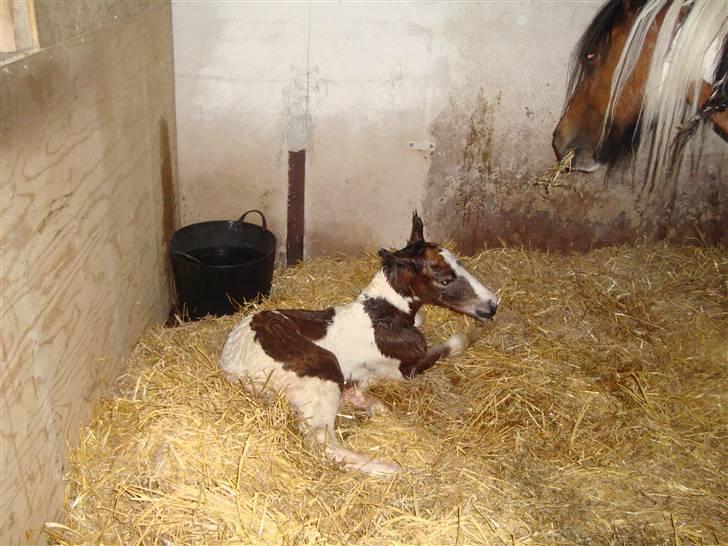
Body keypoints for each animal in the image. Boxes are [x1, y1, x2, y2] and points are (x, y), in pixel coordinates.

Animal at [219, 210, 498, 474]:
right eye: (444, 280)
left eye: (459, 263)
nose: (493, 305)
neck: (385, 315)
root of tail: (232, 365)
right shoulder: (407, 368)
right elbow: (456, 342)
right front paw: (478, 331)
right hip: (324, 368)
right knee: (324, 443)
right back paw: (393, 468)